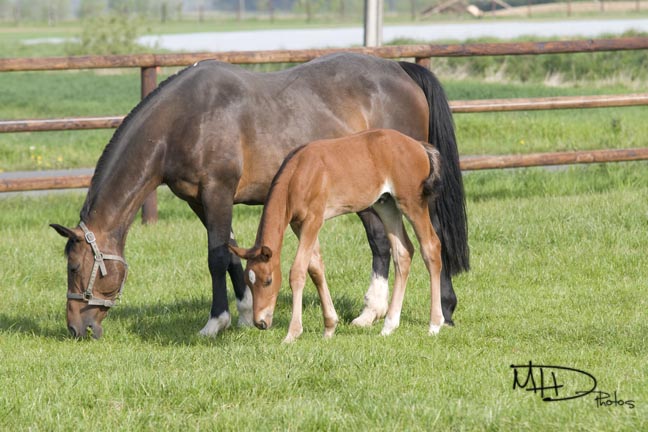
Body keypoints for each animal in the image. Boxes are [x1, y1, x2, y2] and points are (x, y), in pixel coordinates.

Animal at [229, 130, 446, 342]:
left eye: (268, 281)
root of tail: (419, 146)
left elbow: (298, 271)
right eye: (248, 281)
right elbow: (315, 268)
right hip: (387, 205)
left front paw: (292, 333)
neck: (299, 173)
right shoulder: (298, 224)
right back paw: (388, 326)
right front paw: (329, 327)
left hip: (412, 202)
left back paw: (435, 325)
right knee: (403, 252)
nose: (260, 322)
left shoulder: (314, 219)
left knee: (431, 247)